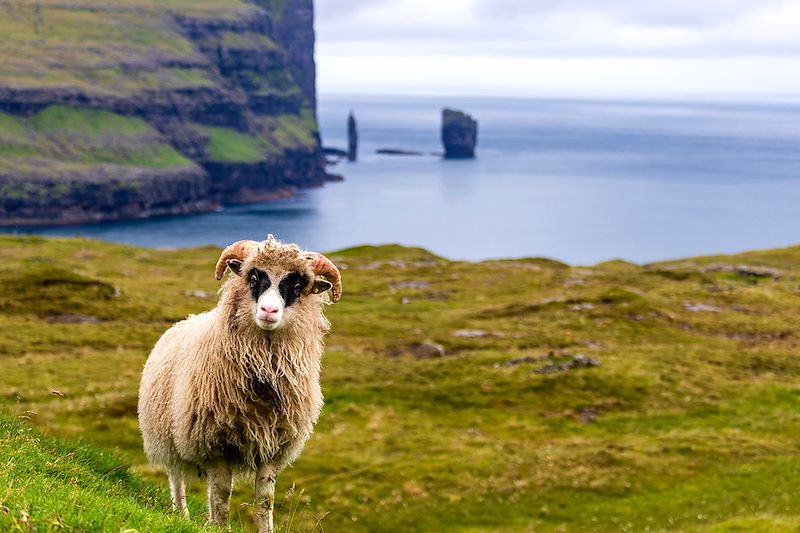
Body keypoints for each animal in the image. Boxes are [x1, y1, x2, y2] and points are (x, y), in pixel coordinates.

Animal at [137, 237, 340, 532]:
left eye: (296, 286)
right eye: (254, 278)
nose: (269, 310)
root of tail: (185, 320)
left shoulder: (272, 446)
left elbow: (264, 498)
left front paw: (264, 528)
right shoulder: (215, 444)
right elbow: (222, 494)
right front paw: (220, 526)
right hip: (167, 436)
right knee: (177, 479)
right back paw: (181, 515)